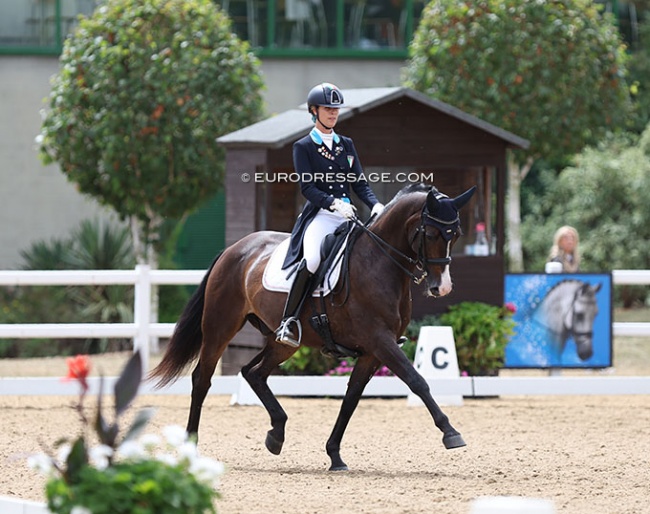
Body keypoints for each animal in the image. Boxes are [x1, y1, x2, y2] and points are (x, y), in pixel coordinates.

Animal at [152, 182, 476, 470]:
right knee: (202, 379)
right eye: (431, 233)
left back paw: (276, 434)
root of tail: (234, 248)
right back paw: (192, 446)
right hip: (220, 327)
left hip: (282, 342)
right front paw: (451, 433)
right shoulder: (379, 340)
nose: (442, 288)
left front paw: (334, 455)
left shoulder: (372, 352)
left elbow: (352, 398)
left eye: (457, 234)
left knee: (253, 373)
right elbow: (417, 381)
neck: (377, 263)